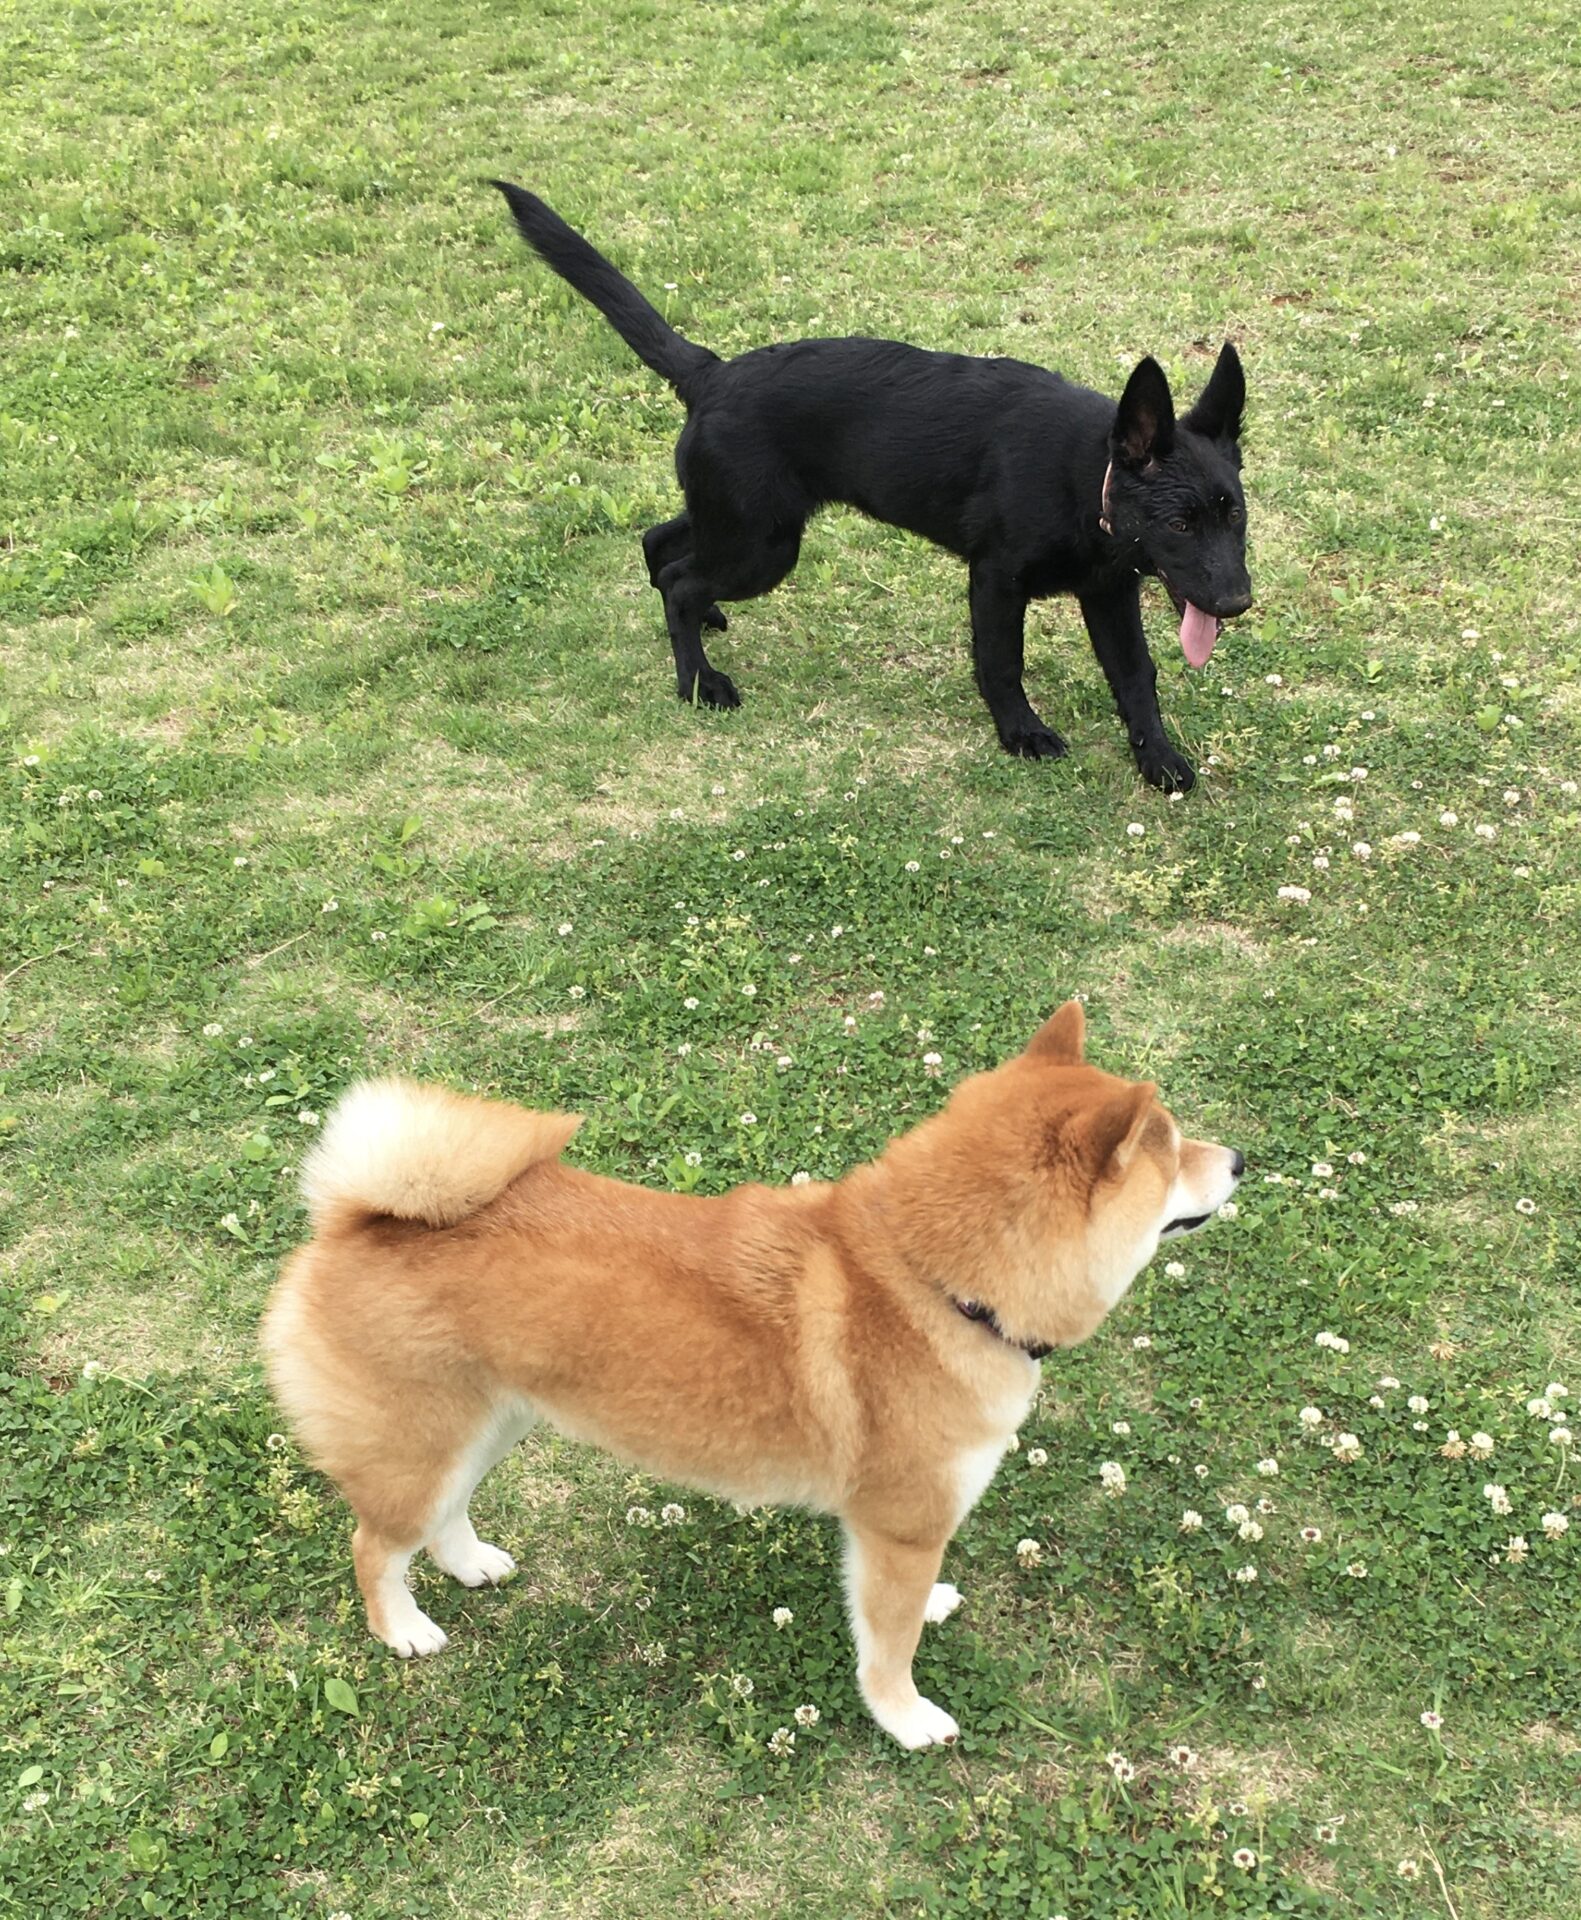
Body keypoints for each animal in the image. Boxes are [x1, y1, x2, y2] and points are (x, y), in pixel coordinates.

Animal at [260, 1001, 1242, 1748]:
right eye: (1171, 1150)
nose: (1238, 1160)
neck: (936, 1283)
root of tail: (353, 1219)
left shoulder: (887, 1534)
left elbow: (895, 1609)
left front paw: (930, 1611)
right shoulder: (902, 1526)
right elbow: (886, 1646)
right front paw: (905, 1719)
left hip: (489, 1425)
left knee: (441, 1520)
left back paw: (471, 1565)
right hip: (418, 1445)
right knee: (374, 1547)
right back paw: (405, 1631)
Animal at [493, 181, 1252, 792]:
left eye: (1235, 517)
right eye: (1179, 523)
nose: (1238, 604)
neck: (1086, 478)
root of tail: (711, 374)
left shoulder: (1108, 592)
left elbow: (1136, 677)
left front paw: (1158, 759)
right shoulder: (996, 580)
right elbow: (1002, 664)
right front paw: (1021, 734)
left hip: (744, 521)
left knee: (662, 543)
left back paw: (702, 627)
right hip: (763, 544)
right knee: (680, 578)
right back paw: (699, 683)